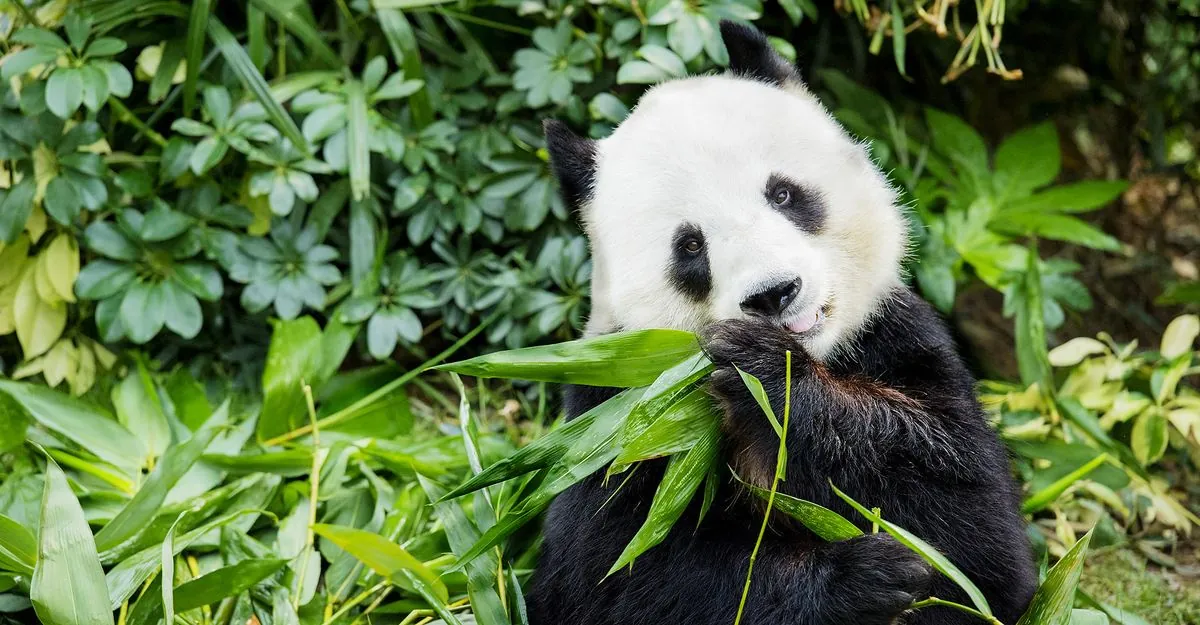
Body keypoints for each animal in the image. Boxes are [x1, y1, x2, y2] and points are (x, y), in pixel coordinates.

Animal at [530, 21, 1036, 623]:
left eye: (783, 193)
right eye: (690, 245)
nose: (774, 294)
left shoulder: (897, 339)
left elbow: (974, 536)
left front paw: (766, 375)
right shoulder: (618, 411)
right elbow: (611, 572)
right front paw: (860, 578)